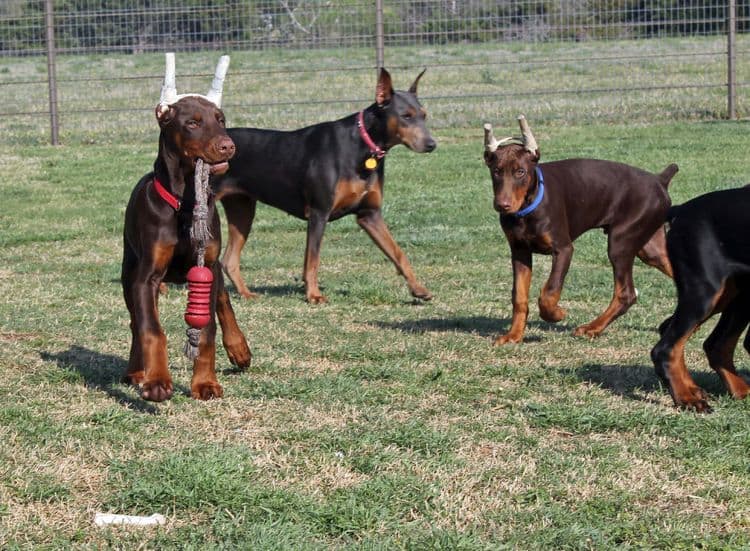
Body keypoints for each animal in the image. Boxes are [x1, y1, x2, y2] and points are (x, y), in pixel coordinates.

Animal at [122, 55, 251, 402]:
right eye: (192, 123)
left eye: (221, 119)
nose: (229, 146)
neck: (185, 204)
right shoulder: (147, 277)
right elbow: (151, 328)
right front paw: (155, 381)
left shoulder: (207, 266)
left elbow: (207, 328)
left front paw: (205, 382)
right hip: (129, 273)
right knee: (135, 321)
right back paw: (135, 370)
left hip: (214, 269)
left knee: (223, 302)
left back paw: (239, 348)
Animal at [212, 68, 438, 304]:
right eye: (406, 116)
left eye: (424, 115)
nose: (431, 144)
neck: (363, 146)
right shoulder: (319, 212)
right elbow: (313, 260)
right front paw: (314, 295)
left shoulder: (370, 214)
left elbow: (398, 253)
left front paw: (419, 289)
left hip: (242, 208)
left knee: (229, 259)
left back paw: (246, 293)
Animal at [484, 117, 680, 344]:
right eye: (496, 171)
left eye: (520, 172)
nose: (502, 205)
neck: (527, 208)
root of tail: (659, 180)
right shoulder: (520, 252)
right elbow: (519, 297)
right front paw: (514, 335)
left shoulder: (563, 249)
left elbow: (549, 291)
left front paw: (556, 314)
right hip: (650, 248)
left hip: (621, 242)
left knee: (626, 294)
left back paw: (591, 328)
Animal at [652, 188, 750, 412]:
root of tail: (681, 211)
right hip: (705, 291)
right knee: (664, 348)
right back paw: (686, 398)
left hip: (734, 295)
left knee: (715, 344)